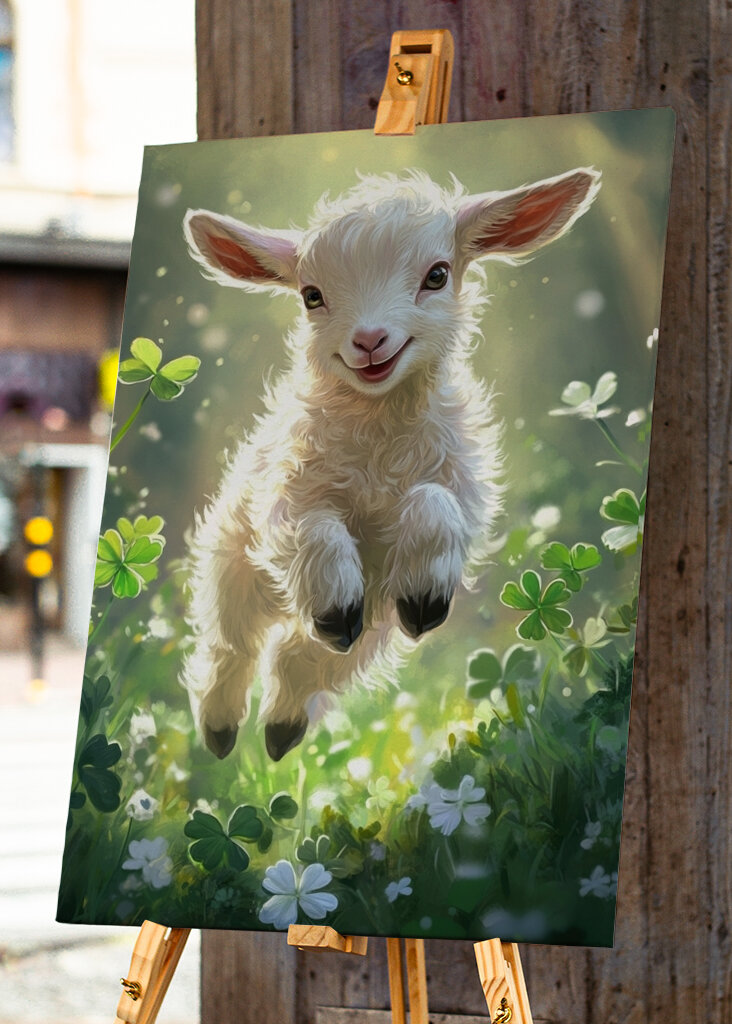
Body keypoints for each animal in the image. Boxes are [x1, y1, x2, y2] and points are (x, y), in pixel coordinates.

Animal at [181, 168, 600, 761]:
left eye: (437, 275)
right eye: (312, 296)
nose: (369, 341)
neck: (380, 437)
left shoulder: (459, 491)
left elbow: (434, 505)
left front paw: (424, 595)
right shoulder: (283, 497)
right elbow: (313, 529)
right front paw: (335, 600)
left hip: (376, 627)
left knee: (305, 659)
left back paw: (283, 728)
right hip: (233, 570)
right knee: (231, 647)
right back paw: (222, 728)